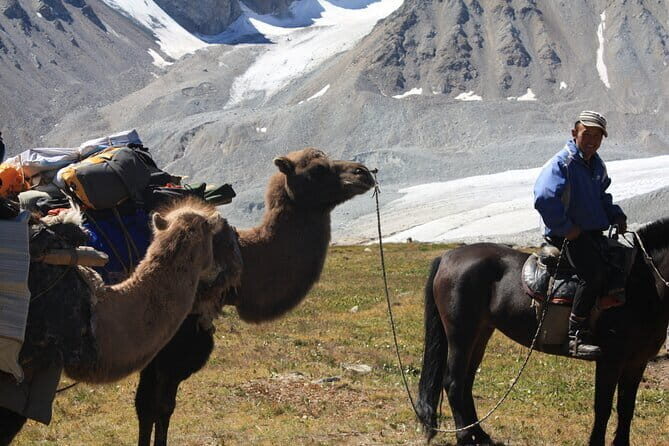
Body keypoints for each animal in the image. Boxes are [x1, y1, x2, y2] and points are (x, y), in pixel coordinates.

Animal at [416, 218, 669, 446]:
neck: (642, 284)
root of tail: (447, 257)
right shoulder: (610, 361)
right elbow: (603, 407)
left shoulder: (637, 362)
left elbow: (626, 407)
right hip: (461, 335)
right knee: (454, 382)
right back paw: (464, 437)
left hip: (481, 333)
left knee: (466, 383)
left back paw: (480, 435)